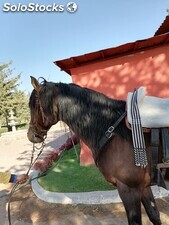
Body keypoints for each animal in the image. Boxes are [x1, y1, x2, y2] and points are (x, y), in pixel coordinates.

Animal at [27, 76, 162, 225]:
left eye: (34, 105)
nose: (31, 135)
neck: (113, 131)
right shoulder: (144, 187)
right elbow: (154, 215)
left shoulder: (129, 189)